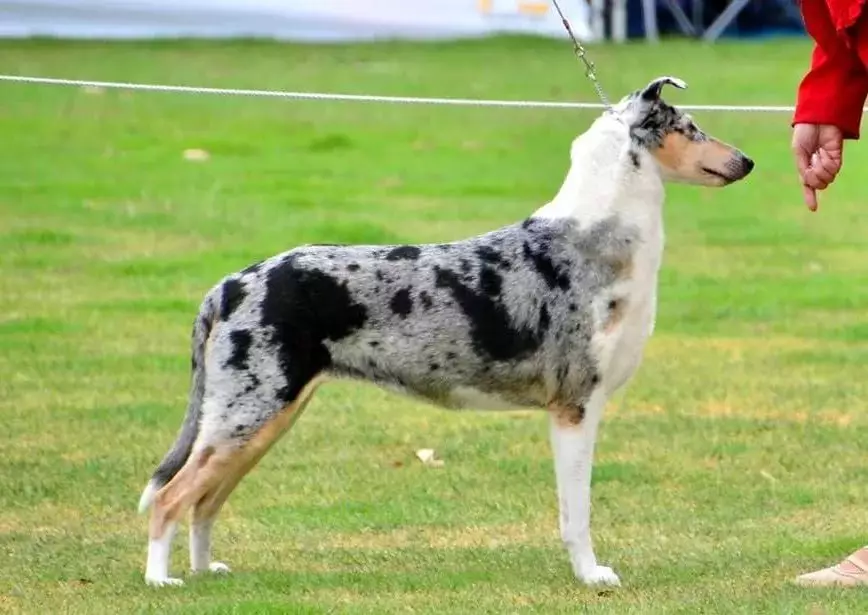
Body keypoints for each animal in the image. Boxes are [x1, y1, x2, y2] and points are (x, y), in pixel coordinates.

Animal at [137, 77, 752, 588]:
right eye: (689, 126)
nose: (746, 161)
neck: (594, 237)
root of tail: (230, 284)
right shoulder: (576, 406)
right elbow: (575, 511)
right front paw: (591, 575)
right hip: (248, 411)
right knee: (171, 496)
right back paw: (161, 581)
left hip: (263, 418)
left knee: (205, 500)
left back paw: (206, 571)